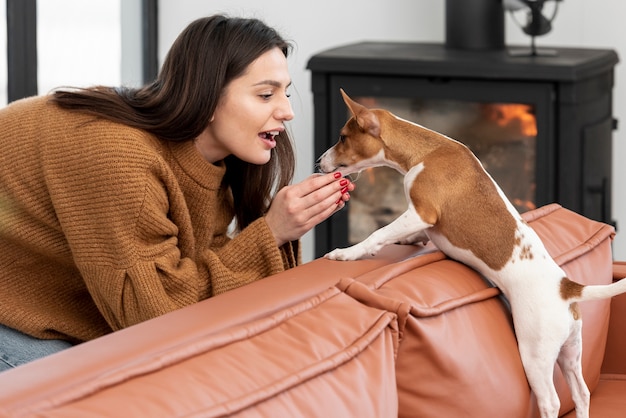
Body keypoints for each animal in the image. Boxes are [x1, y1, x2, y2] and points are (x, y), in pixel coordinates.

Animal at [320, 90, 624, 418]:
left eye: (342, 137)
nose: (319, 161)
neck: (425, 151)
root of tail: (567, 287)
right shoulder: (421, 221)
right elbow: (412, 235)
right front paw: (410, 241)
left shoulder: (421, 212)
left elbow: (378, 234)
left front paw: (347, 253)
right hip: (571, 350)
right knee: (581, 392)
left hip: (536, 354)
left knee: (551, 400)